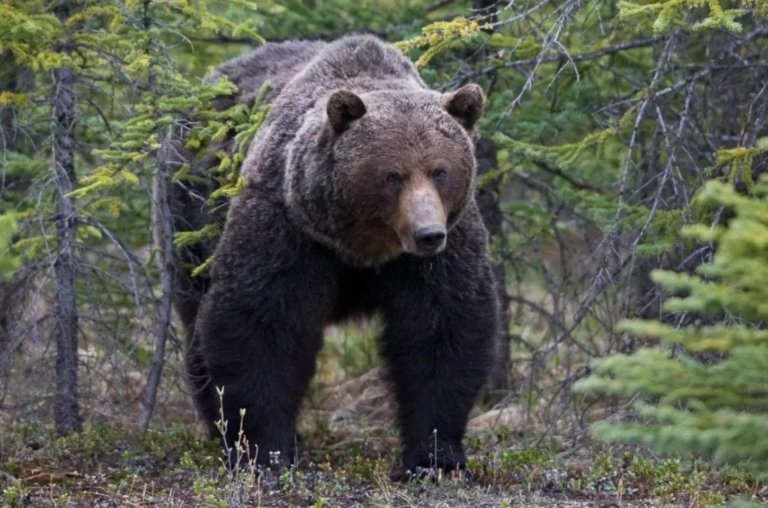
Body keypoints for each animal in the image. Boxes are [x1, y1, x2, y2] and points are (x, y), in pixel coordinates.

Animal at [170, 35, 500, 474]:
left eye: (440, 171)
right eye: (393, 175)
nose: (428, 234)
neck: (361, 246)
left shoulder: (444, 248)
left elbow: (442, 329)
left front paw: (435, 457)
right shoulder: (289, 227)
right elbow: (261, 323)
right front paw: (266, 451)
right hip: (189, 213)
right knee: (195, 319)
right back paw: (217, 426)